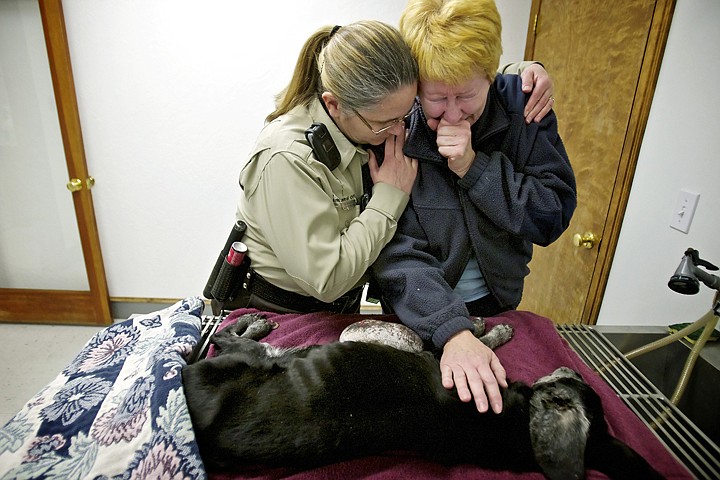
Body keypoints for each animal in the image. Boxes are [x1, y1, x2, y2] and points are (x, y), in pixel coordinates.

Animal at [183, 314, 660, 478]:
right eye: (580, 388)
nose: (573, 368)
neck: (517, 428)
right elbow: (473, 342)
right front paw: (490, 331)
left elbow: (468, 343)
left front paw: (490, 331)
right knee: (227, 335)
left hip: (255, 359)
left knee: (228, 337)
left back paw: (252, 324)